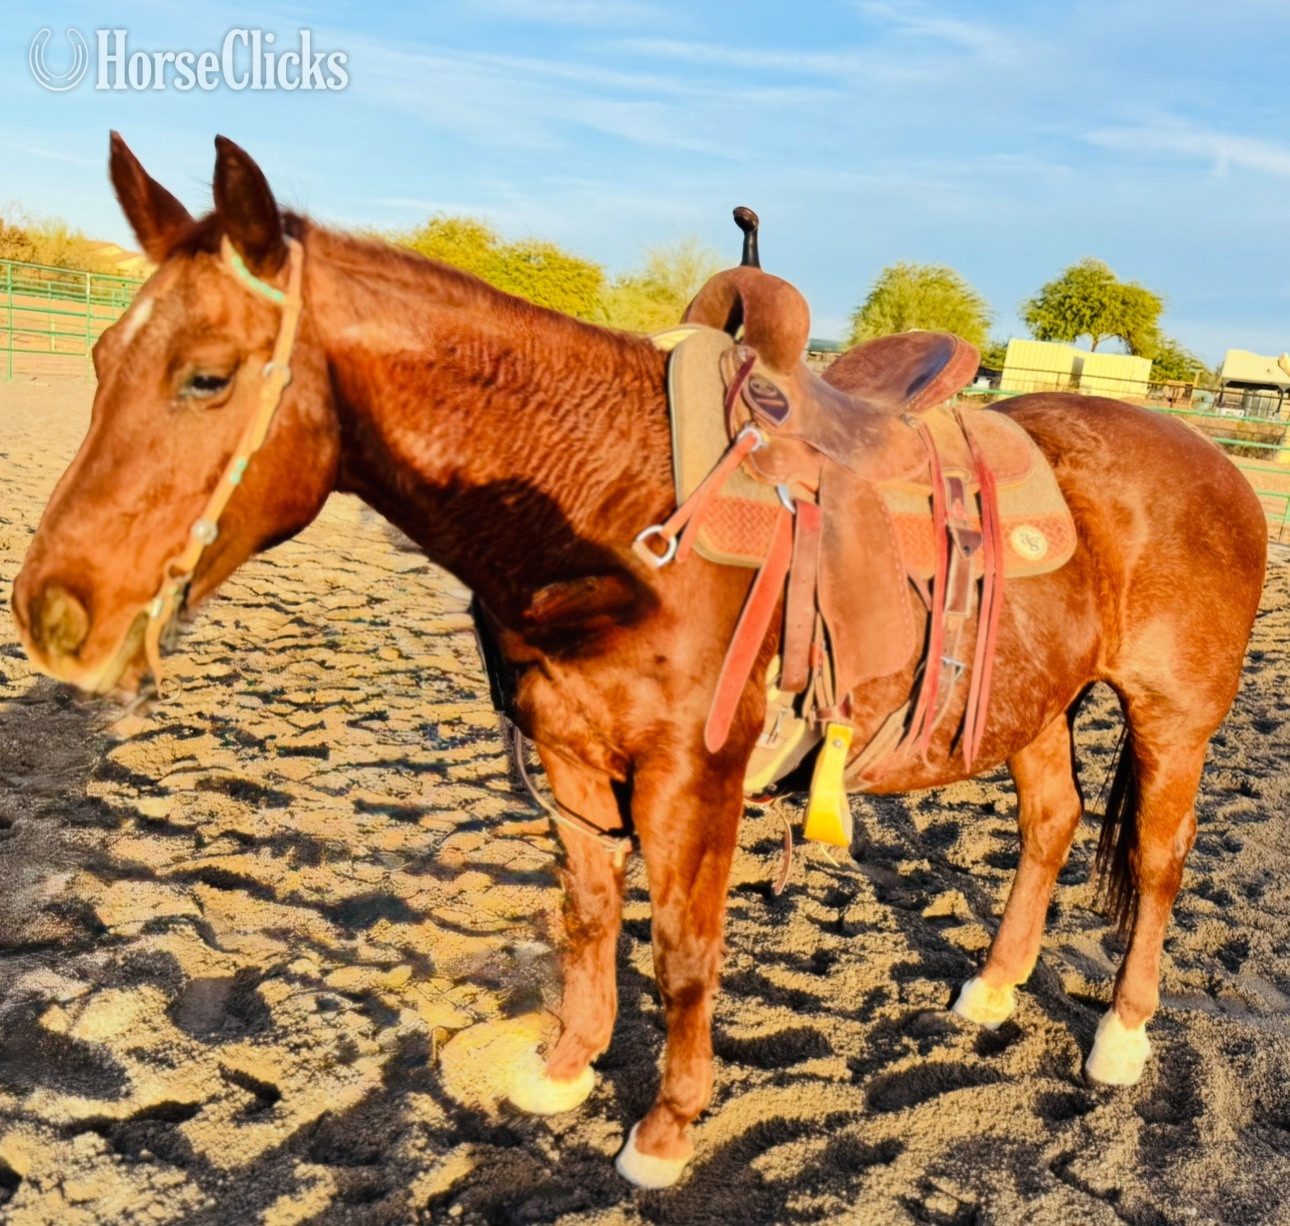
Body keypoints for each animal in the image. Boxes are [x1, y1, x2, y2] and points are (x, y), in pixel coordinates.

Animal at [10, 134, 1267, 1189]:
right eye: (102, 353)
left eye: (208, 374)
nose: (53, 613)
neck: (606, 509)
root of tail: (1217, 459)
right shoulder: (570, 766)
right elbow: (588, 917)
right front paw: (565, 1064)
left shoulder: (691, 780)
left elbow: (684, 949)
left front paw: (664, 1128)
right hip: (1032, 702)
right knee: (1051, 823)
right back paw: (995, 986)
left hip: (1172, 715)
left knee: (1158, 862)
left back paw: (1120, 1034)